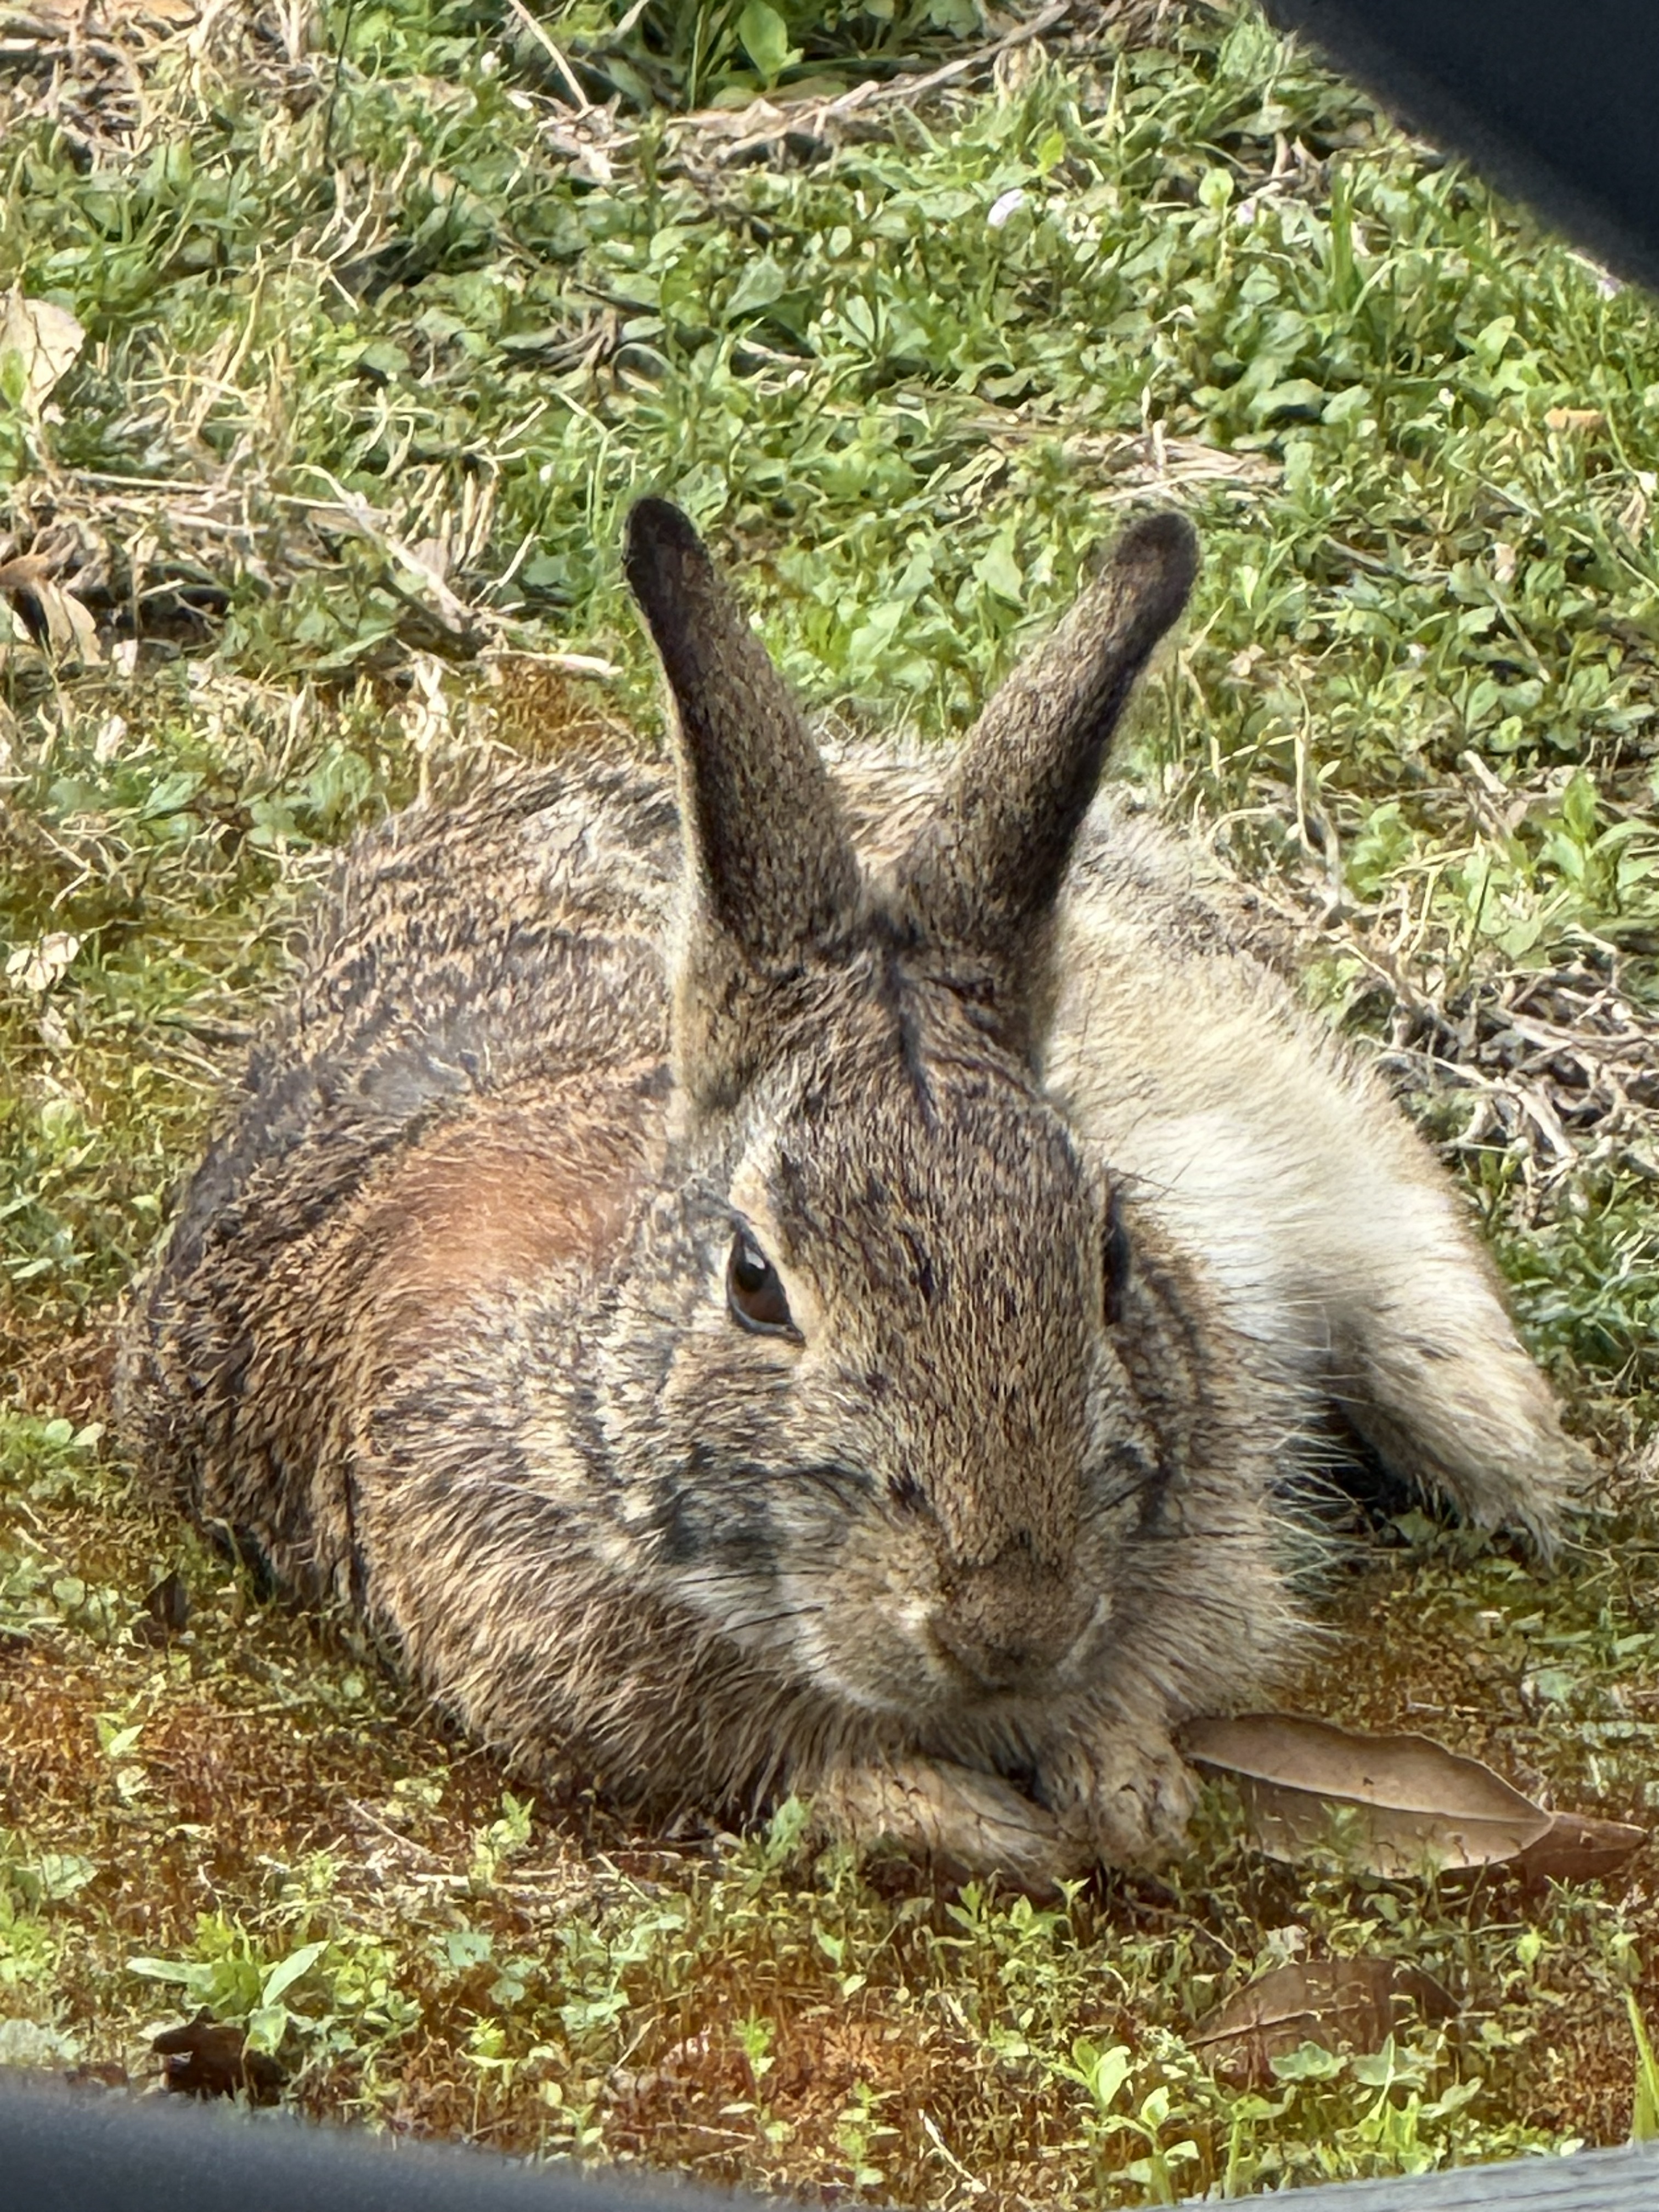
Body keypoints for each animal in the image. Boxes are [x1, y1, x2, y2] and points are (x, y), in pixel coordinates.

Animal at [116, 499, 1576, 1894]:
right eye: (757, 1286)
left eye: (1108, 1254)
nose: (1011, 1621)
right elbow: (825, 1782)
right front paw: (1003, 1830)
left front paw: (1128, 1793)